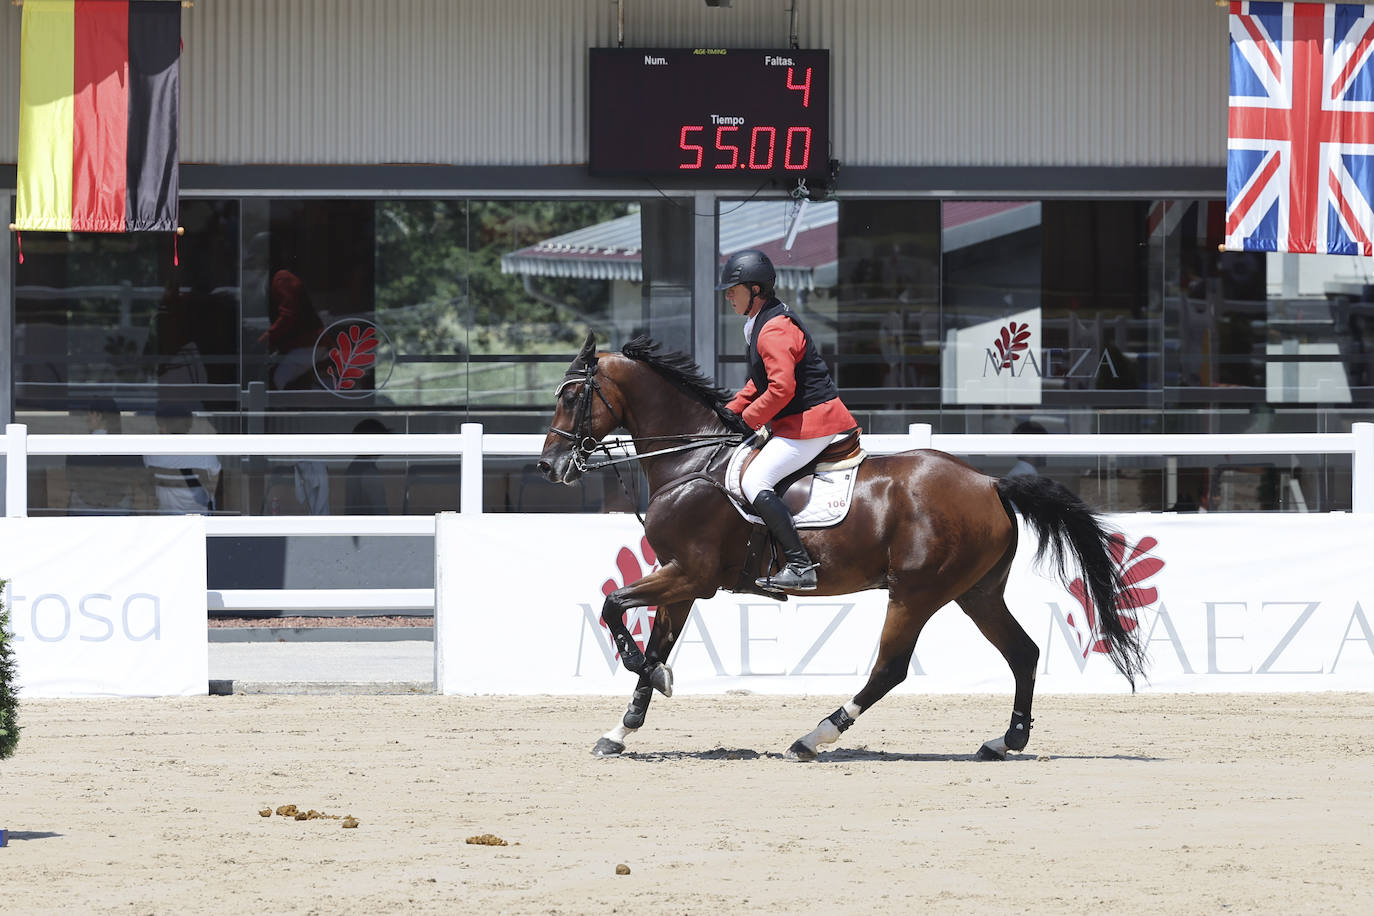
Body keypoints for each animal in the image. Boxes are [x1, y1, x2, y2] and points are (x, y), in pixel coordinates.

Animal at [535, 333, 1148, 763]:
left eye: (572, 395)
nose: (549, 466)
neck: (692, 460)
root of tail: (990, 483)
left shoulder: (692, 576)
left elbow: (614, 608)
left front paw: (647, 675)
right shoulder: (679, 579)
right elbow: (652, 642)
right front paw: (620, 730)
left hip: (916, 592)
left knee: (890, 669)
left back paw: (814, 737)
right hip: (976, 592)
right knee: (1023, 652)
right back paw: (1005, 741)